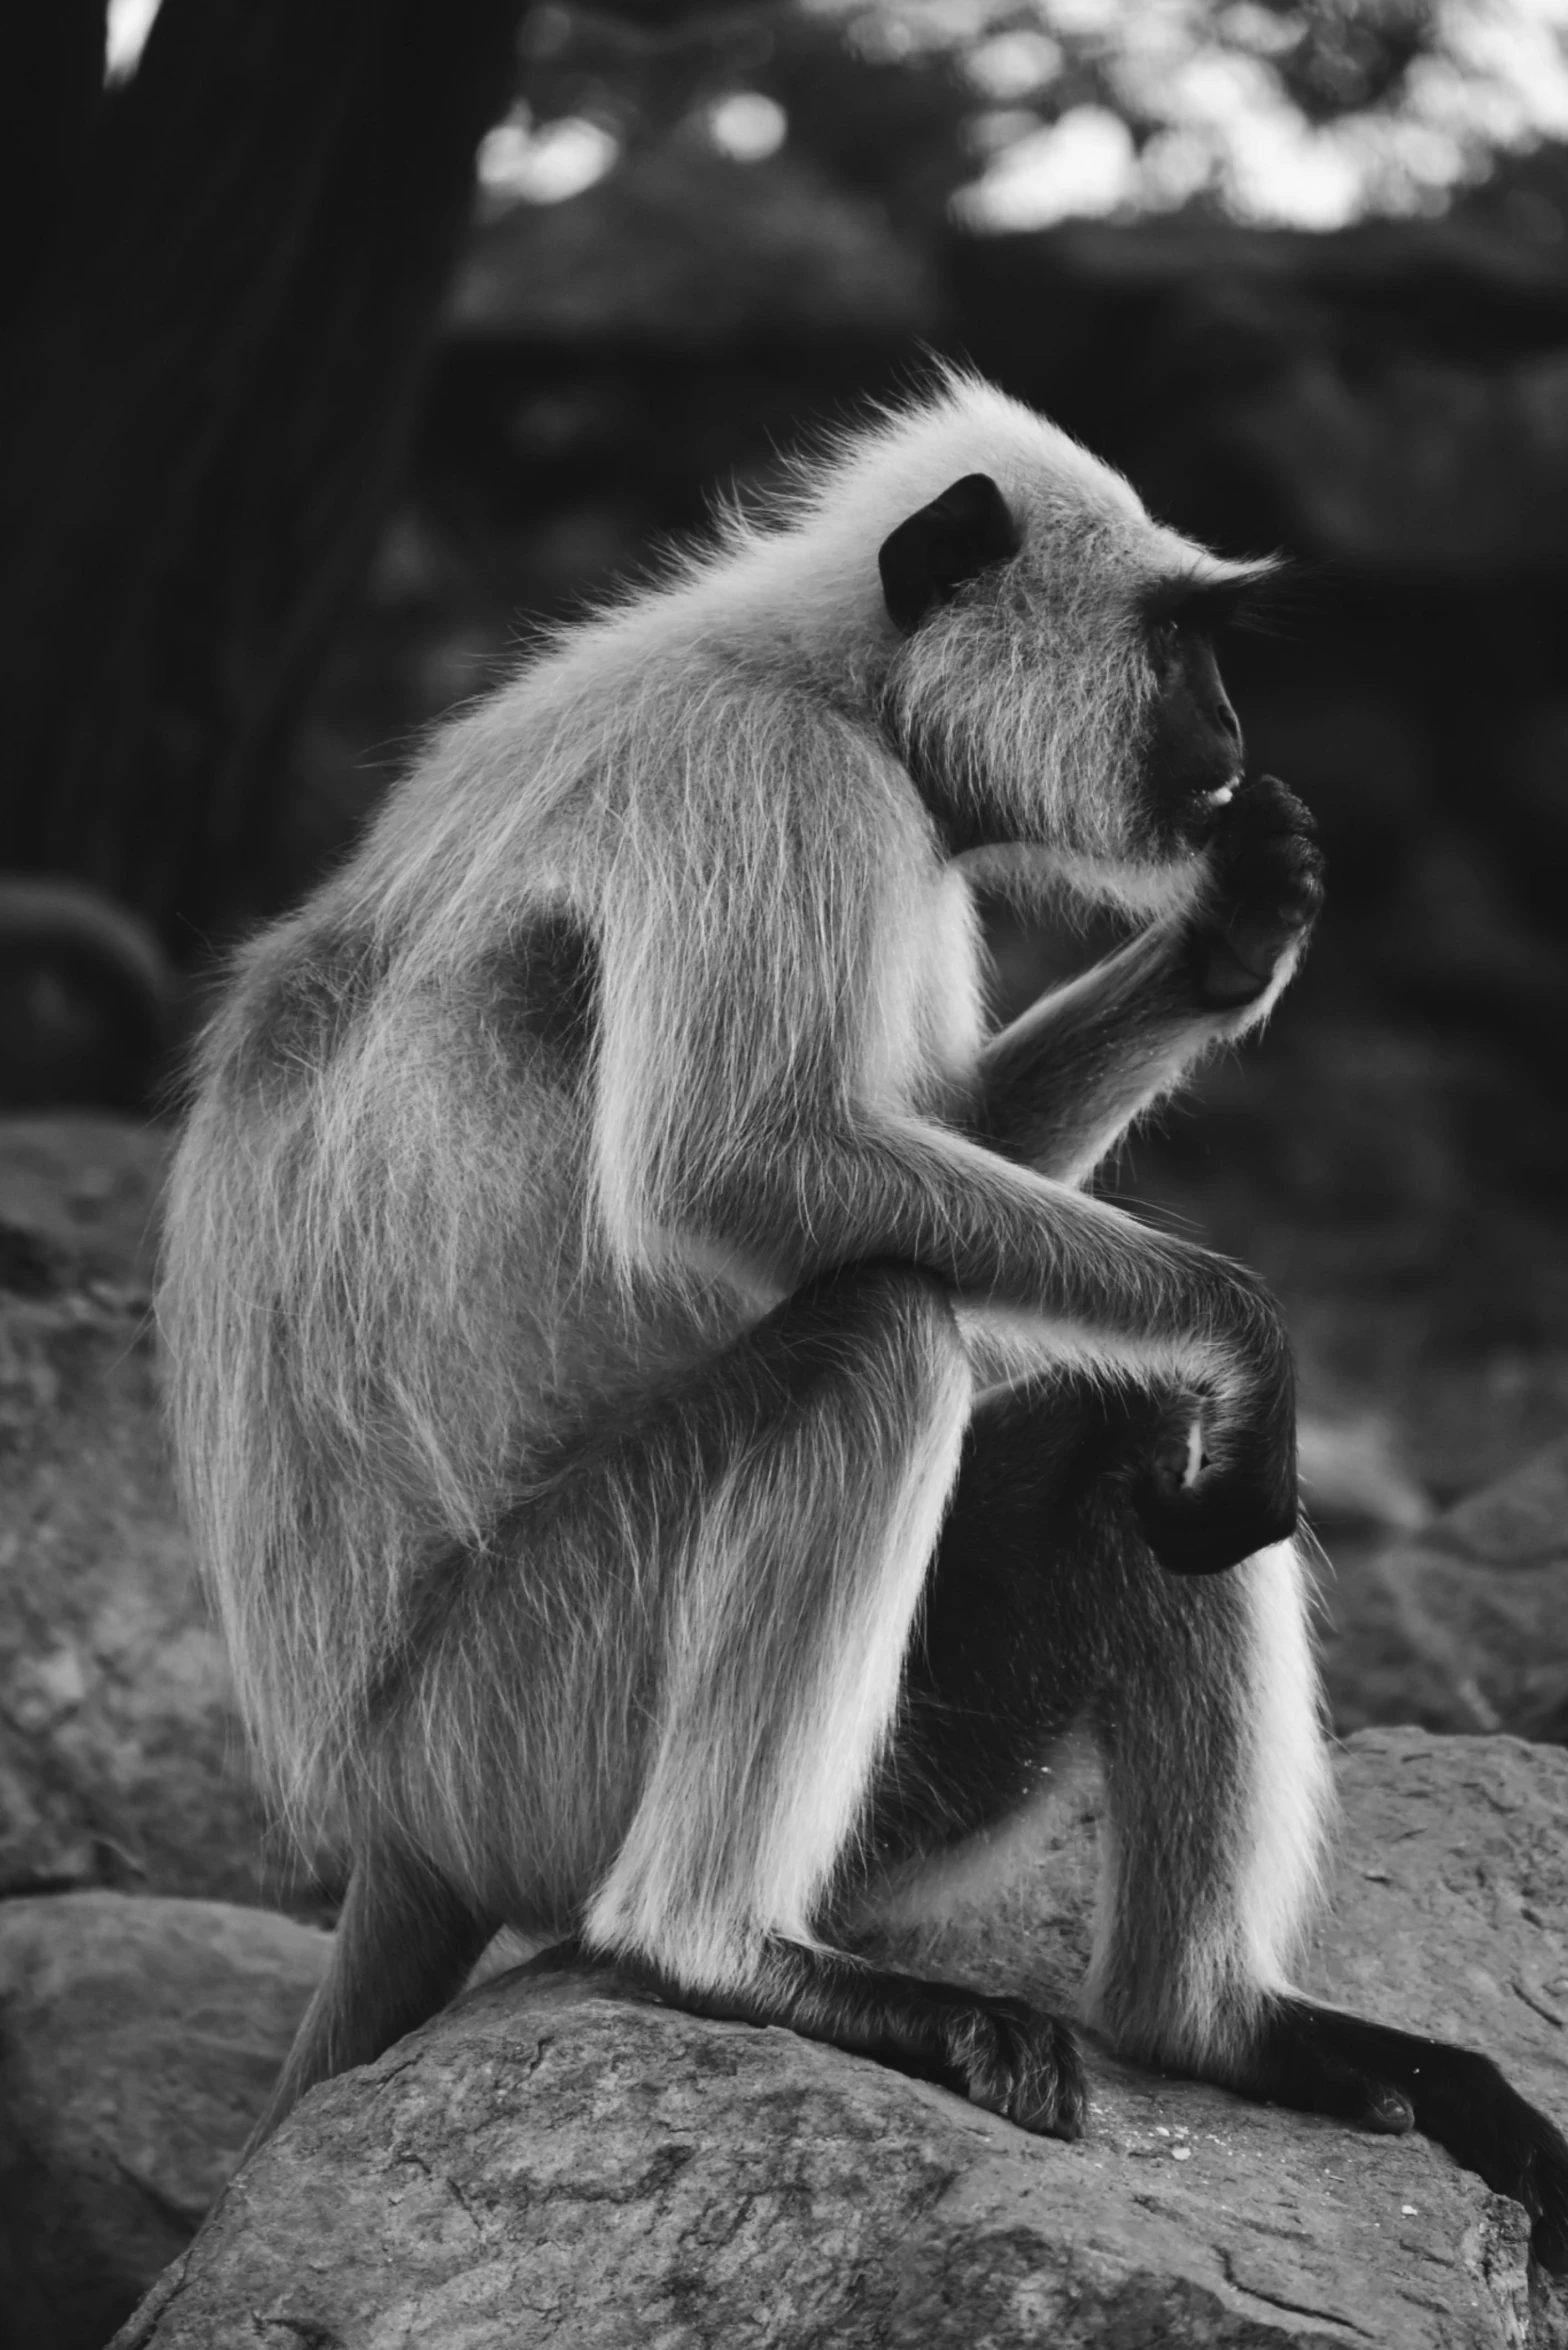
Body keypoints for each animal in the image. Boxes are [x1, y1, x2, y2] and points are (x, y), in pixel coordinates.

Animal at [159, 371, 1568, 2256]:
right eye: (1177, 641)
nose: (1224, 728)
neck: (826, 673)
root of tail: (377, 1815)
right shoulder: (773, 786)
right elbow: (747, 1168)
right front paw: (1244, 1321)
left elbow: (915, 1160)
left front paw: (1234, 930)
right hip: (516, 1726)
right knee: (882, 1340)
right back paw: (726, 1953)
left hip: (888, 1774)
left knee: (1139, 1442)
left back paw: (1212, 2026)